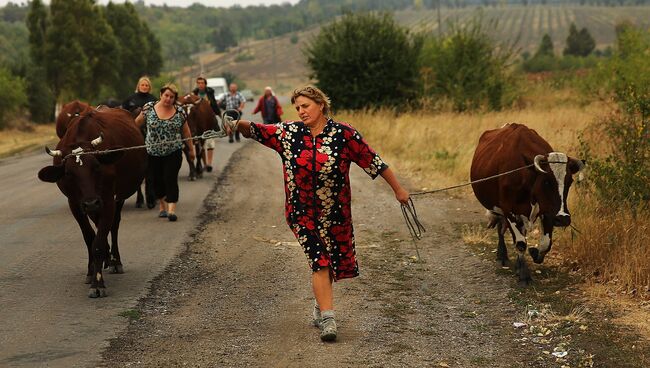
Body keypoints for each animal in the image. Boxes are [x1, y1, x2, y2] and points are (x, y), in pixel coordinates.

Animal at [37, 108, 146, 298]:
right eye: (68, 173)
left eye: (96, 166)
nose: (90, 203)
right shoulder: (75, 204)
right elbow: (90, 238)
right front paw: (91, 271)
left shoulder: (108, 200)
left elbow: (99, 243)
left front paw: (98, 283)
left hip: (116, 199)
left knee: (114, 225)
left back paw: (115, 261)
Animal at [468, 123, 584, 284]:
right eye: (546, 181)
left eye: (569, 182)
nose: (563, 218)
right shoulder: (509, 210)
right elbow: (521, 243)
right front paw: (524, 275)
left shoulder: (548, 211)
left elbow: (546, 243)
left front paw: (535, 254)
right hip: (500, 209)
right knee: (501, 229)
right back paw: (502, 256)